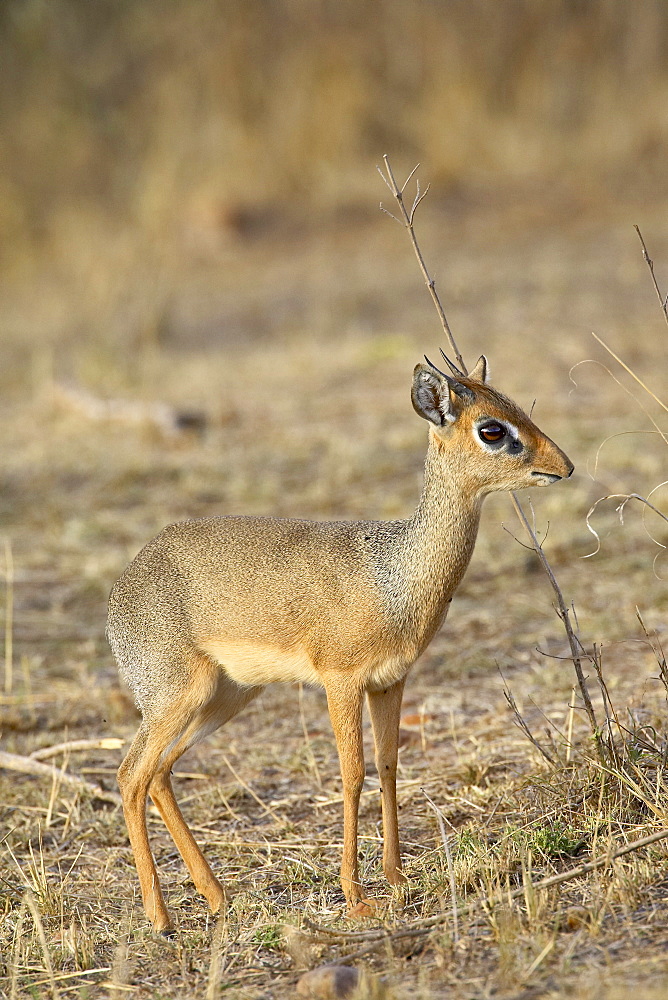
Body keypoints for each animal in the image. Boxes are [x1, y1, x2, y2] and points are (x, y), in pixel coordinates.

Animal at [107, 356, 572, 932]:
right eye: (491, 429)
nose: (563, 466)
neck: (393, 575)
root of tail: (125, 583)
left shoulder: (390, 681)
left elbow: (389, 766)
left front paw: (396, 877)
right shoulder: (341, 681)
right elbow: (352, 775)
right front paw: (356, 896)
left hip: (224, 699)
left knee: (159, 775)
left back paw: (216, 897)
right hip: (177, 696)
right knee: (130, 776)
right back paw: (161, 918)